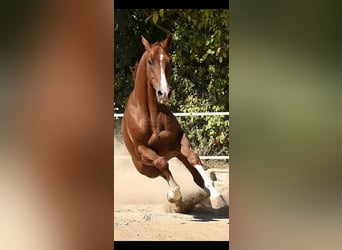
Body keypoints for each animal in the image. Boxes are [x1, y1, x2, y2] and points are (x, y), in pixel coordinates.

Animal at [121, 34, 227, 211]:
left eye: (169, 60)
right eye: (150, 61)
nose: (164, 93)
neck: (152, 115)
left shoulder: (179, 140)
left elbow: (193, 158)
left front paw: (216, 196)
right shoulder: (142, 149)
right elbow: (162, 163)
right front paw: (174, 194)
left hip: (174, 154)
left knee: (195, 176)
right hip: (145, 168)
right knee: (161, 170)